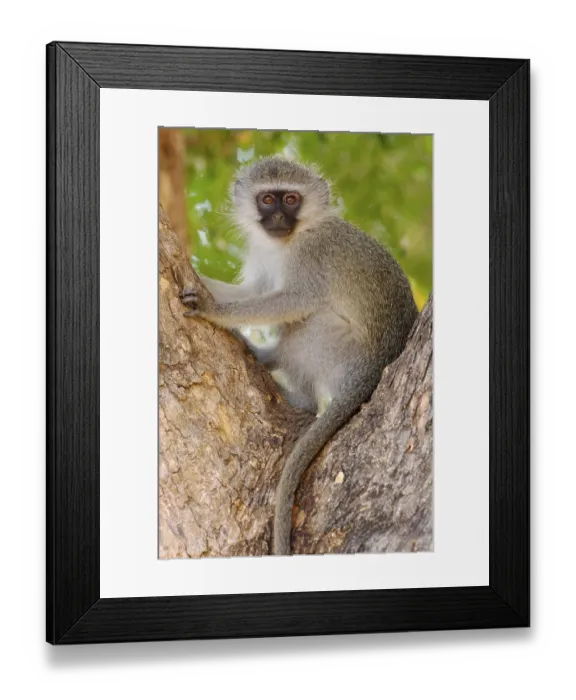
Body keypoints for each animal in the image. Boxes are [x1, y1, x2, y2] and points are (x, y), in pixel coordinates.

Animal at [180, 156, 419, 555]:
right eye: (267, 200)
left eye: (291, 199)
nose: (278, 217)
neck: (291, 240)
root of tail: (373, 370)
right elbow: (253, 290)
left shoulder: (311, 255)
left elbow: (295, 301)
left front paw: (215, 312)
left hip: (340, 350)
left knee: (308, 323)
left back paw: (284, 380)